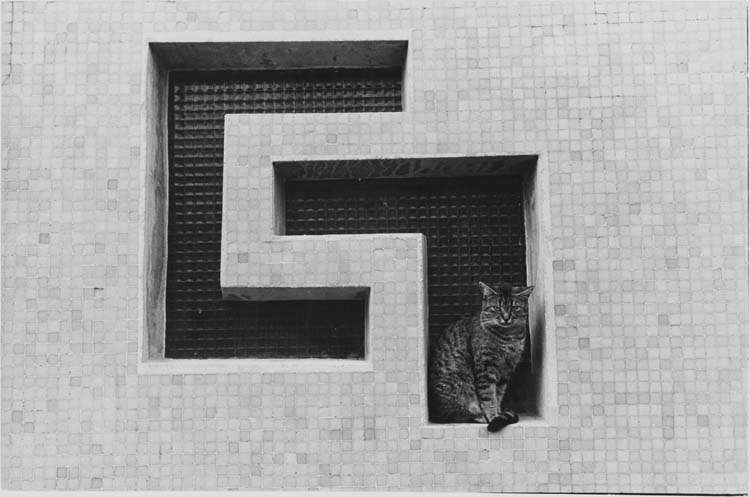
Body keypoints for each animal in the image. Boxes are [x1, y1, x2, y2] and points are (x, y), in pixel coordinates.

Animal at [428, 282, 536, 430]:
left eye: (515, 308)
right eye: (496, 308)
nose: (506, 318)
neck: (509, 337)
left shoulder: (506, 369)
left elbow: (498, 395)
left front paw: (498, 412)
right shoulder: (485, 367)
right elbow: (488, 396)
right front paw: (493, 416)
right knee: (457, 416)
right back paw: (478, 417)